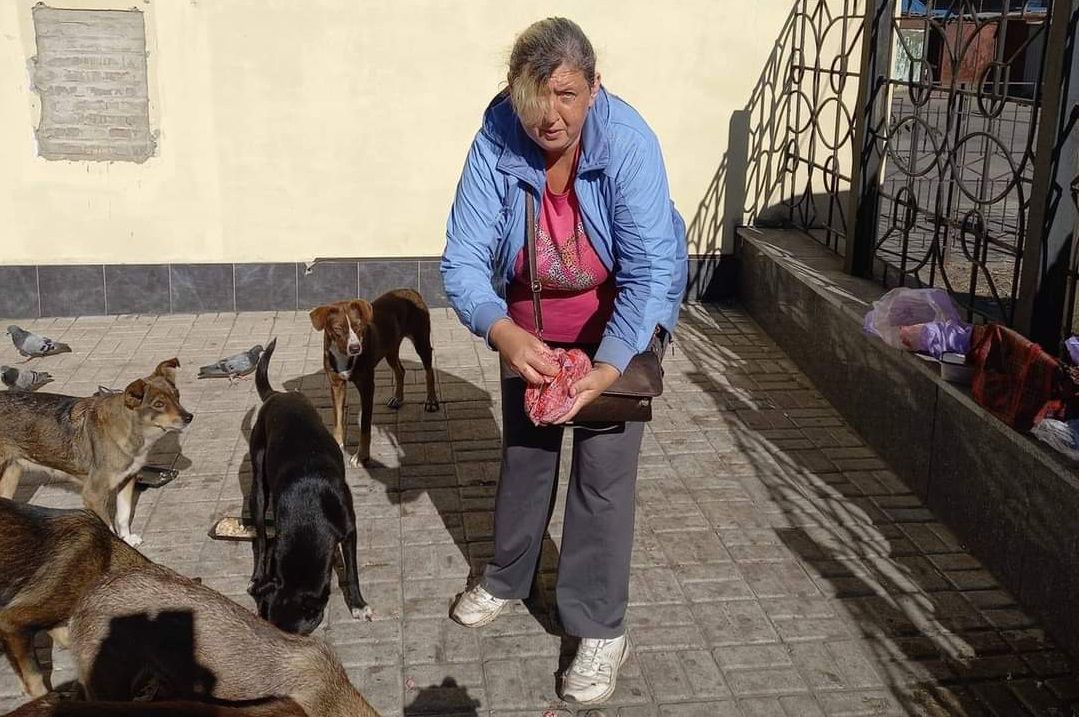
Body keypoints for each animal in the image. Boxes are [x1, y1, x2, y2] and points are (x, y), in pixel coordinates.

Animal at [0, 357, 190, 547]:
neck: (129, 430)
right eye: (158, 404)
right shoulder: (94, 495)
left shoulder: (127, 480)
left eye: (177, 396)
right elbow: (109, 528)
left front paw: (127, 539)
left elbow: (123, 516)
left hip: (10, 476)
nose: (189, 417)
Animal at [248, 336, 371, 633]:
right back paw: (257, 575)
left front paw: (358, 605)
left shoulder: (349, 530)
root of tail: (277, 395)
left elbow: (352, 572)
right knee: (260, 536)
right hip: (258, 488)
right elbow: (268, 546)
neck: (309, 515)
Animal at [308, 288, 438, 467]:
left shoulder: (367, 386)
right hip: (390, 347)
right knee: (400, 370)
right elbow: (338, 419)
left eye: (358, 326)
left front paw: (361, 455)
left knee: (429, 370)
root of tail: (410, 290)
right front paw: (338, 445)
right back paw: (398, 398)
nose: (355, 348)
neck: (344, 356)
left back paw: (431, 400)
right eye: (338, 329)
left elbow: (365, 425)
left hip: (421, 339)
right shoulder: (336, 385)